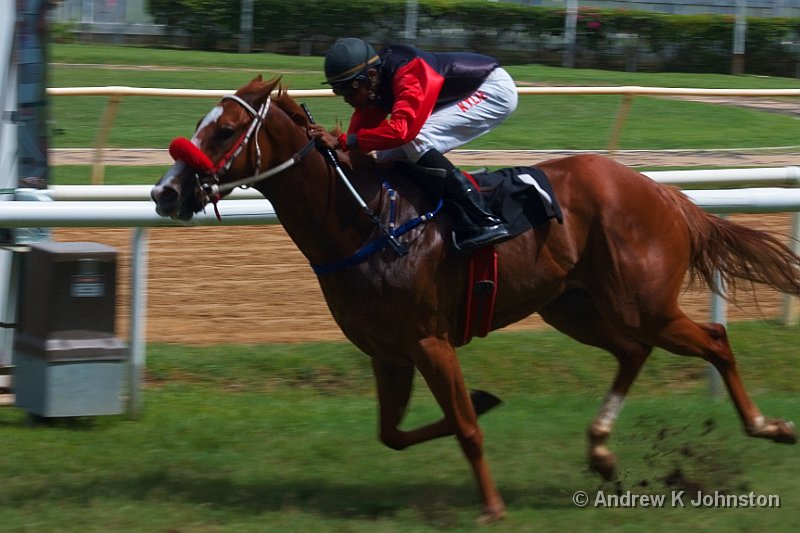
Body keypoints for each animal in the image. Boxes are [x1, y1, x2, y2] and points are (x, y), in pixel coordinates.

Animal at [152, 76, 800, 520]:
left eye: (226, 130)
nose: (164, 193)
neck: (368, 219)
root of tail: (664, 193)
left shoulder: (428, 341)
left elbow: (463, 425)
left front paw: (491, 506)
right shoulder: (386, 351)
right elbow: (393, 433)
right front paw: (487, 401)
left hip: (643, 304)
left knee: (713, 339)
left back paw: (767, 426)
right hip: (574, 307)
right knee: (632, 352)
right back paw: (601, 450)